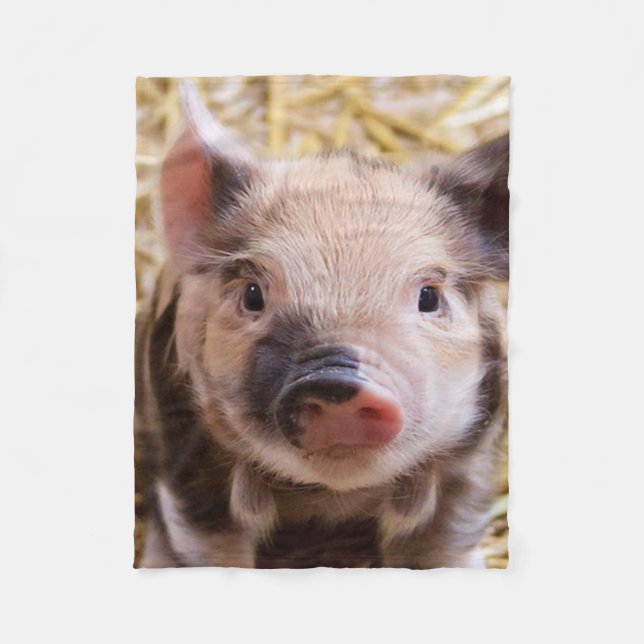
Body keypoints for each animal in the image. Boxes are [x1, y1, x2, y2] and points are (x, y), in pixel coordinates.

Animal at [134, 81, 509, 569]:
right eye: (252, 294)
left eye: (429, 297)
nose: (336, 379)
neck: (331, 498)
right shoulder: (189, 452)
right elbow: (209, 546)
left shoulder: (471, 455)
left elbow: (441, 541)